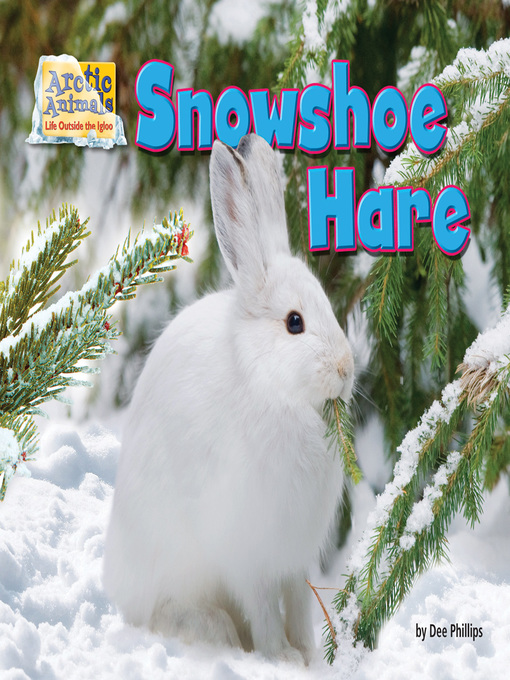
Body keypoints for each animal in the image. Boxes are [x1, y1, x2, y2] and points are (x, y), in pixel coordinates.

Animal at [103, 133, 354, 664]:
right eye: (295, 322)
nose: (346, 370)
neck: (272, 391)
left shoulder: (294, 557)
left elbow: (298, 603)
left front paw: (311, 655)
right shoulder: (249, 554)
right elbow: (265, 611)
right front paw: (282, 658)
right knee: (166, 611)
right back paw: (216, 630)